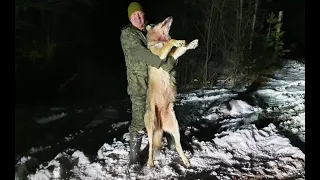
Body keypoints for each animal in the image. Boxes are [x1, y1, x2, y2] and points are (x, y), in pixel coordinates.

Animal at [144, 16, 199, 168]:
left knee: (178, 146)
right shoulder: (160, 55)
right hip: (150, 126)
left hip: (175, 128)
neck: (160, 40)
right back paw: (150, 163)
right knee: (150, 147)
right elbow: (171, 42)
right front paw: (177, 40)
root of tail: (160, 125)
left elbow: (181, 49)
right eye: (154, 23)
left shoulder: (172, 56)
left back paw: (186, 162)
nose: (170, 17)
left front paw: (191, 43)